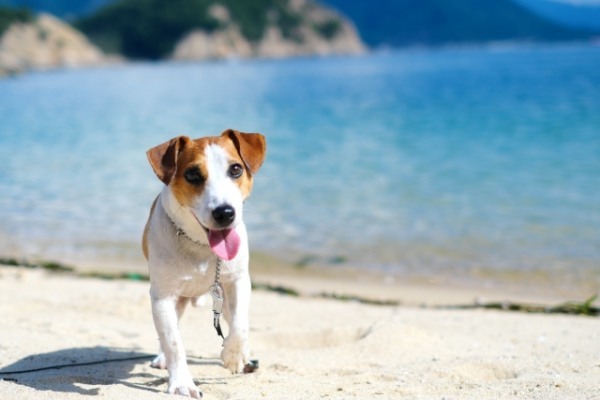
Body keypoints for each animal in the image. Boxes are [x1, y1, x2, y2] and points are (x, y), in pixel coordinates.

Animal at [142, 130, 266, 398]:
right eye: (192, 175)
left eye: (236, 169)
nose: (225, 212)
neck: (200, 246)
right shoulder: (162, 296)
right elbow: (173, 341)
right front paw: (182, 384)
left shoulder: (238, 280)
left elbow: (240, 324)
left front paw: (234, 356)